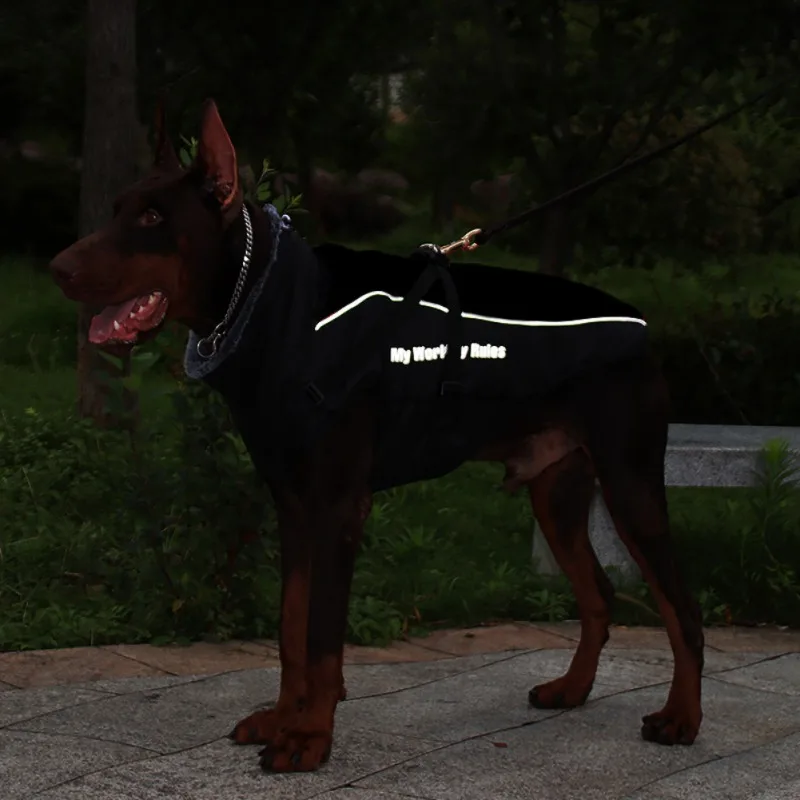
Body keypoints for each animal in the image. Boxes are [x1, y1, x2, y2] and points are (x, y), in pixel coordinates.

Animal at [48, 97, 708, 772]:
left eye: (154, 216)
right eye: (116, 209)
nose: (57, 268)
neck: (273, 304)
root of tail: (645, 327)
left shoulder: (339, 505)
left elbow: (321, 636)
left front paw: (310, 738)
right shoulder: (294, 504)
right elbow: (291, 626)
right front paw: (283, 718)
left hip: (629, 483)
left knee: (683, 611)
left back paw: (680, 718)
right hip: (556, 491)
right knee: (598, 594)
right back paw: (572, 688)